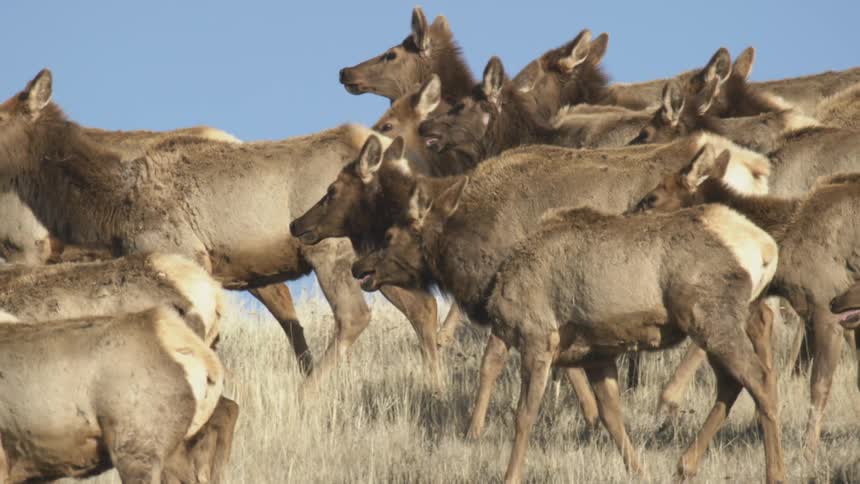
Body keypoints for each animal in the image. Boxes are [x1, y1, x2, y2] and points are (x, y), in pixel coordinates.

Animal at [352, 169, 783, 483]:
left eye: (389, 234)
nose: (359, 267)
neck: (490, 279)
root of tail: (766, 249)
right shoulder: (597, 353)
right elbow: (612, 417)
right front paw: (639, 470)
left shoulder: (536, 336)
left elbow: (524, 413)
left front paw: (510, 475)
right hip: (722, 319)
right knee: (731, 383)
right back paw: (686, 464)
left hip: (710, 315)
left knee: (760, 379)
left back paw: (775, 472)